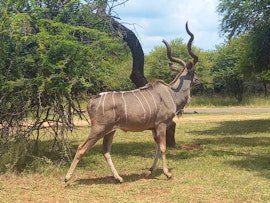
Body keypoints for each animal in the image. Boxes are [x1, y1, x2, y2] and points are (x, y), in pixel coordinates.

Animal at [64, 22, 197, 186]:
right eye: (193, 71)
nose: (197, 79)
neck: (171, 93)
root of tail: (91, 102)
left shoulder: (153, 128)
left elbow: (157, 148)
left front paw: (150, 171)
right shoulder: (161, 125)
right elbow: (163, 148)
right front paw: (167, 173)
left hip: (110, 131)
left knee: (106, 151)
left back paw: (119, 178)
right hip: (98, 129)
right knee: (81, 148)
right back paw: (67, 179)